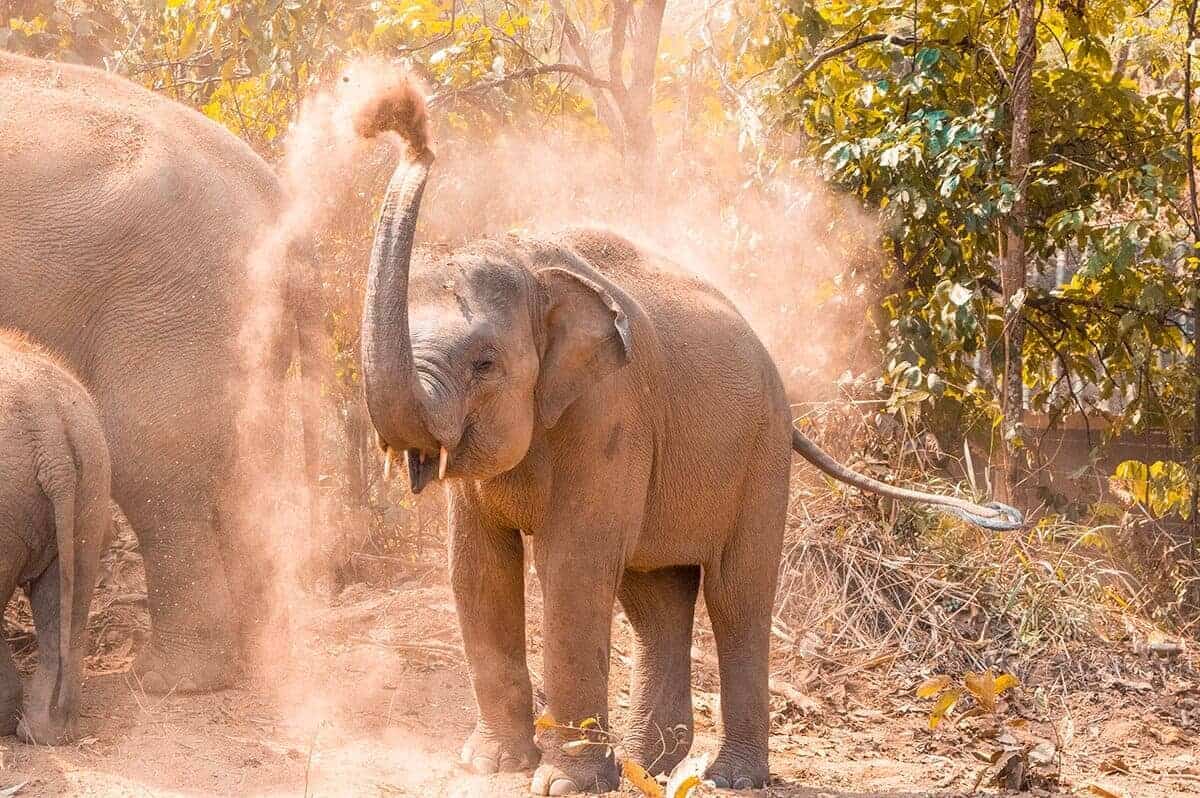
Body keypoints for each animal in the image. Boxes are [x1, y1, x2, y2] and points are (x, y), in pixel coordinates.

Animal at [0, 51, 320, 693]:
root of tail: (281, 208)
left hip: (175, 304)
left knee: (150, 456)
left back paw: (169, 679)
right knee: (244, 469)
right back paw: (256, 658)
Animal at [355, 75, 1021, 794]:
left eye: (484, 362)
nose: (400, 116)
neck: (532, 263)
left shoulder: (610, 414)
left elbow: (571, 567)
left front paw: (563, 783)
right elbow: (478, 569)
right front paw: (493, 766)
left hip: (760, 457)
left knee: (736, 599)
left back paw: (725, 776)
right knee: (654, 599)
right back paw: (644, 767)